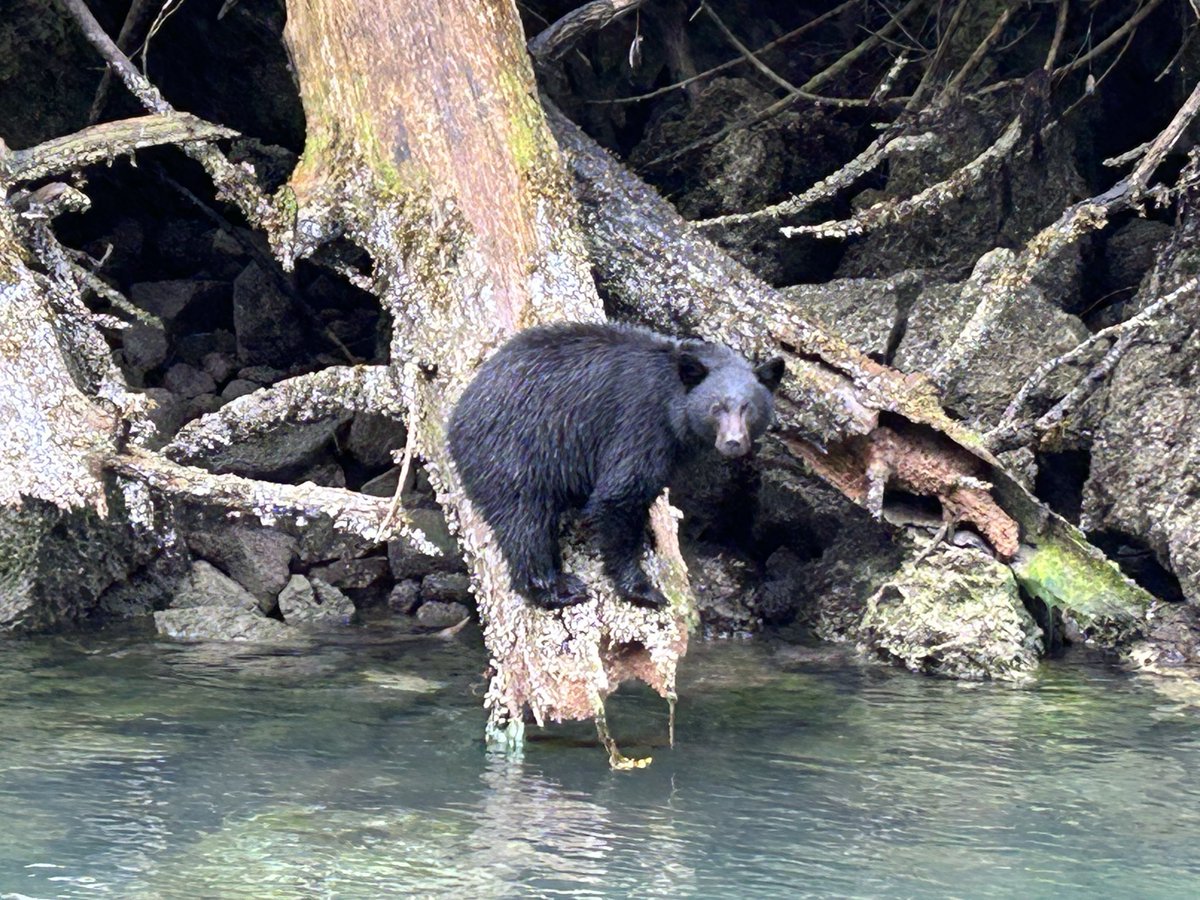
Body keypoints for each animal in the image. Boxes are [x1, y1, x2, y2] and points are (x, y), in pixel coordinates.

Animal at [447, 322, 785, 610]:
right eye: (717, 408)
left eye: (748, 408)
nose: (732, 442)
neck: (672, 402)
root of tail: (457, 416)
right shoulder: (640, 425)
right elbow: (620, 494)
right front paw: (641, 588)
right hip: (513, 451)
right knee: (526, 520)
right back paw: (555, 588)